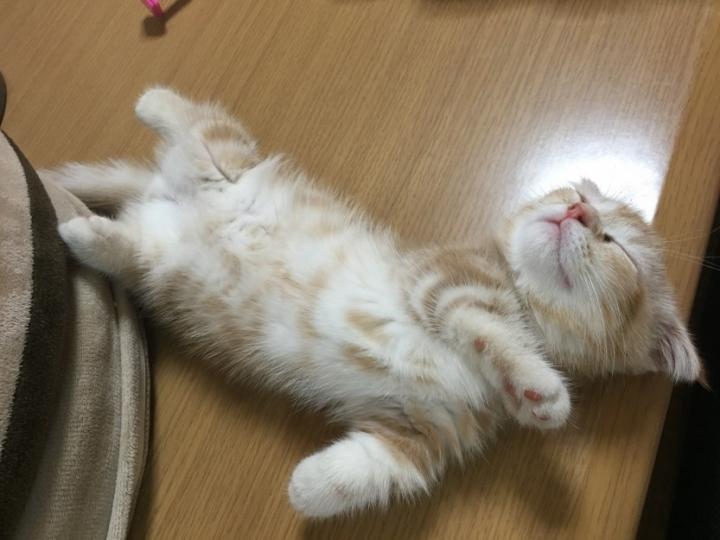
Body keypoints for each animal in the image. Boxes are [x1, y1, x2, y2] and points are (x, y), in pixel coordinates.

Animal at [50, 87, 703, 518]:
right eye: (572, 193)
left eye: (617, 245)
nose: (578, 210)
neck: (519, 296)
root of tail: (157, 193)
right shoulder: (440, 283)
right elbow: (485, 329)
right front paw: (540, 387)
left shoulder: (428, 428)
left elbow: (384, 468)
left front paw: (309, 486)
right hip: (225, 168)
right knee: (209, 131)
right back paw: (151, 107)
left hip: (160, 266)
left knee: (128, 247)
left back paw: (84, 228)